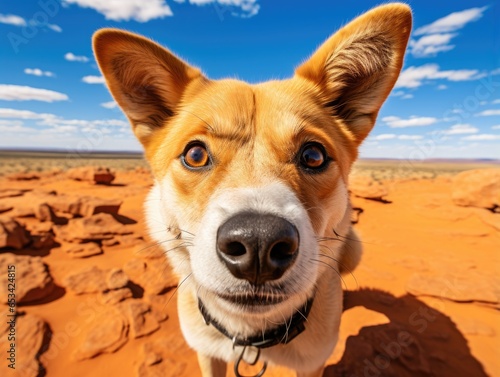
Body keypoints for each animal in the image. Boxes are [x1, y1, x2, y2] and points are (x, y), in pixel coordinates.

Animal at [93, 3, 410, 376]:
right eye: (195, 155)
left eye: (314, 155)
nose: (258, 243)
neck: (251, 336)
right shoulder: (207, 352)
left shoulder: (312, 364)